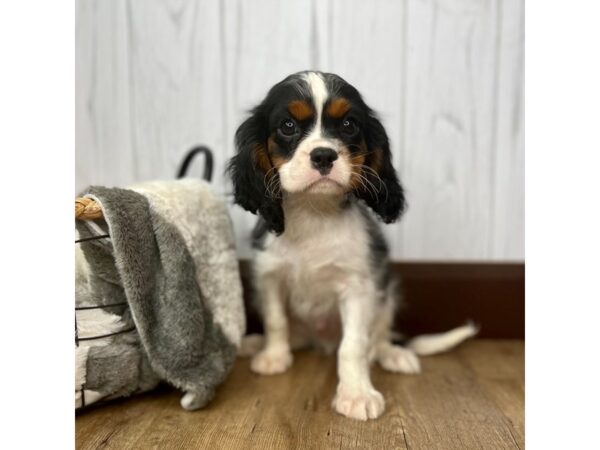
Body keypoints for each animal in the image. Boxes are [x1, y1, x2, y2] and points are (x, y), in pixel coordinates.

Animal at [227, 71, 476, 422]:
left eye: (348, 125)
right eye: (287, 126)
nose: (323, 155)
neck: (315, 212)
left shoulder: (359, 287)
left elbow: (353, 346)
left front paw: (357, 393)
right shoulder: (270, 276)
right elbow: (276, 321)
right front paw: (274, 357)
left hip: (387, 295)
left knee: (379, 336)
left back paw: (392, 354)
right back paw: (254, 345)